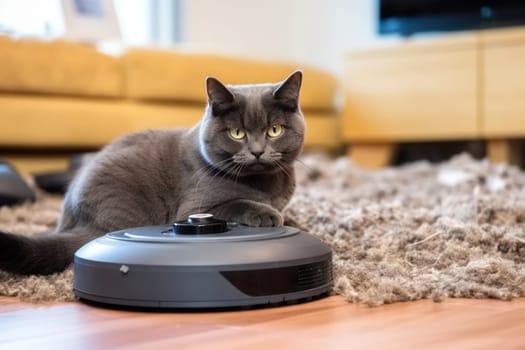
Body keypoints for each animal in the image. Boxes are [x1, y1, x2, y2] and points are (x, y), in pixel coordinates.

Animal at [0, 70, 304, 276]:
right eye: (237, 133)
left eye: (274, 130)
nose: (257, 151)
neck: (267, 184)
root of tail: (77, 220)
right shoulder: (195, 206)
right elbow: (237, 203)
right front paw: (267, 214)